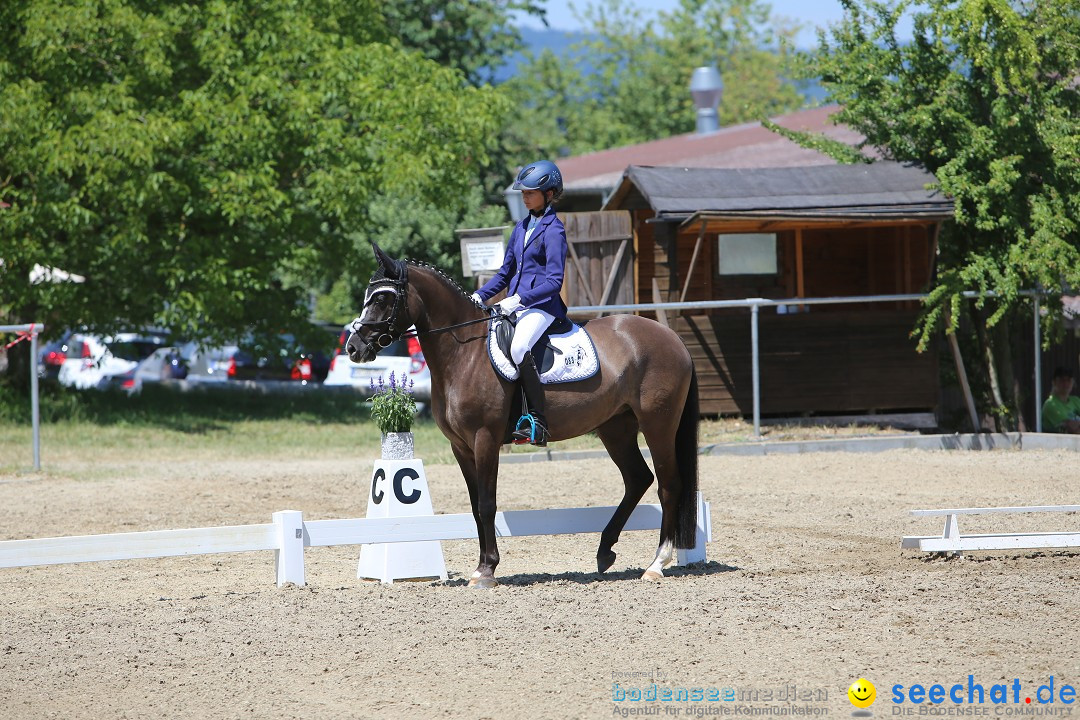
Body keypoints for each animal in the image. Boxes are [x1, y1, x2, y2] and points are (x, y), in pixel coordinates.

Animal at [345, 245, 699, 587]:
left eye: (383, 298)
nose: (353, 347)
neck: (463, 353)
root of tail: (672, 337)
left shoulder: (485, 439)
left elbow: (487, 504)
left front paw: (487, 571)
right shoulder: (460, 447)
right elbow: (475, 506)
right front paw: (481, 567)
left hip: (658, 424)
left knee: (669, 484)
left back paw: (656, 565)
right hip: (616, 428)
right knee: (638, 479)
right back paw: (604, 551)